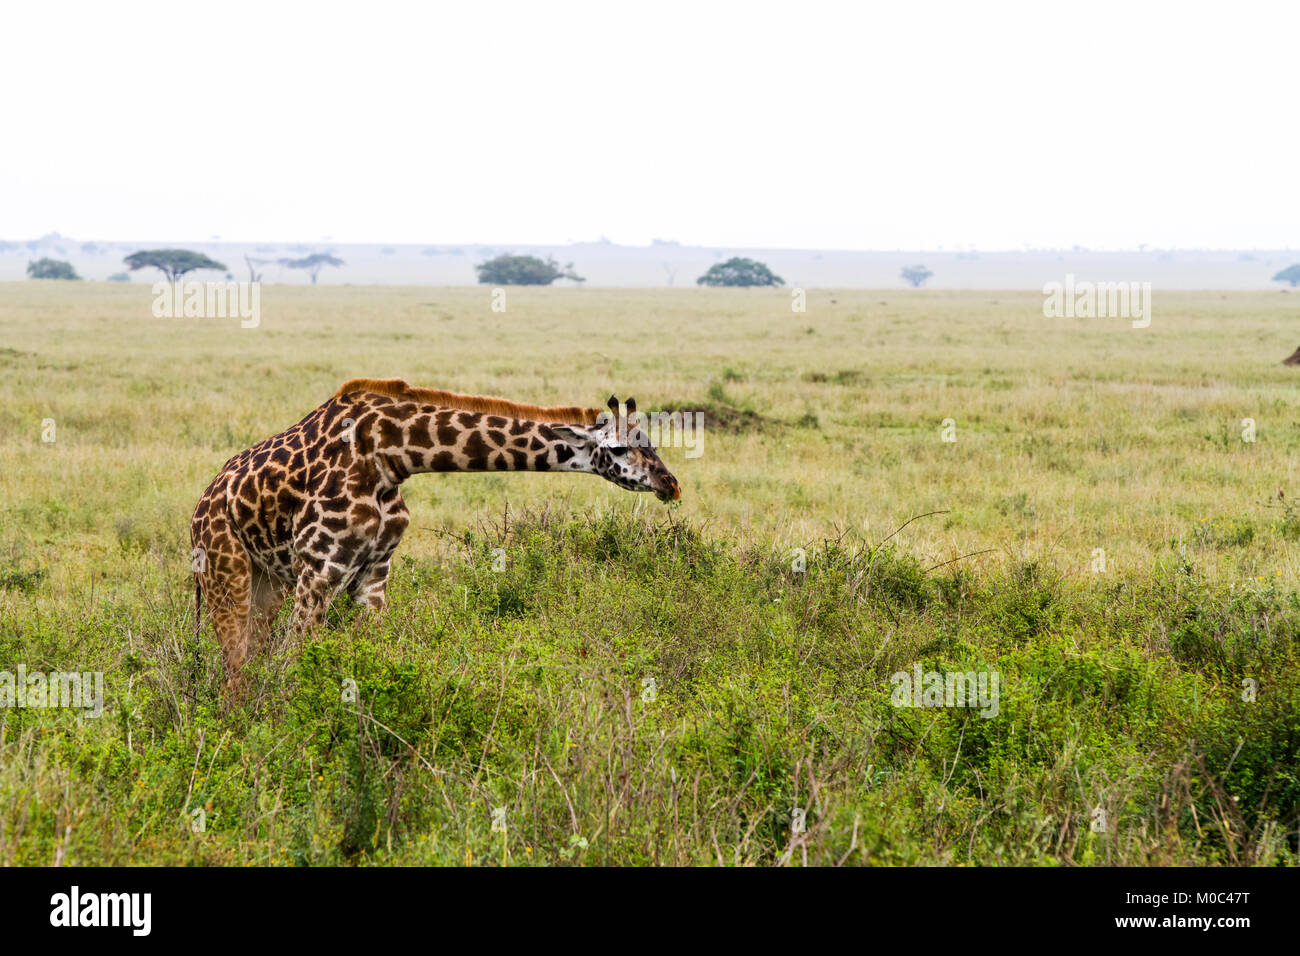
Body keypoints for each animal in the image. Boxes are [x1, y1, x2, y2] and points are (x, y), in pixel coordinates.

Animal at [191, 377, 681, 697]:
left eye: (653, 442)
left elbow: (367, 659)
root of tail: (200, 508)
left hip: (268, 583)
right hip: (224, 574)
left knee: (248, 663)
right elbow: (296, 662)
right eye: (619, 448)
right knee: (235, 670)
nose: (670, 484)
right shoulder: (318, 568)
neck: (390, 455)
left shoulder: (374, 573)